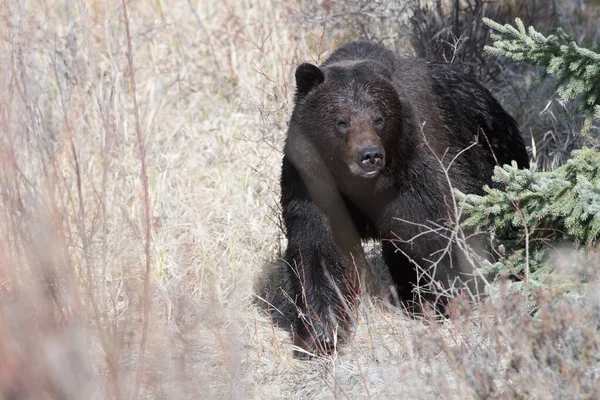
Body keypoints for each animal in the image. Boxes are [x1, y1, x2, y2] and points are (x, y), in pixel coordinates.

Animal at [260, 41, 528, 356]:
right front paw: (321, 332)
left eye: (378, 118)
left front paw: (446, 300)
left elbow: (432, 234)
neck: (364, 185)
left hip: (495, 161)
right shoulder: (311, 182)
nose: (370, 155)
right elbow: (318, 248)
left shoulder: (416, 171)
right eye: (341, 121)